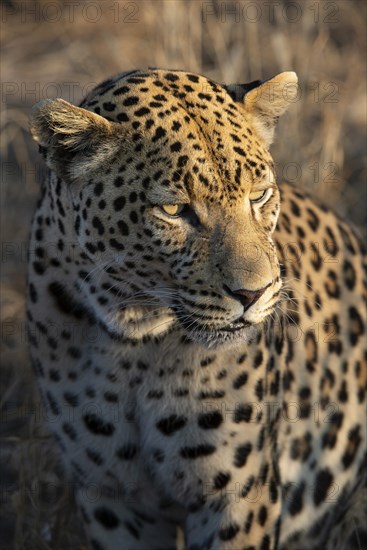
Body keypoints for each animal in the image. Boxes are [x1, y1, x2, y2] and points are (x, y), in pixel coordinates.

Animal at [27, 69, 366, 550]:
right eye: (173, 210)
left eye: (259, 196)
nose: (255, 294)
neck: (135, 344)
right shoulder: (111, 497)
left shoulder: (239, 494)